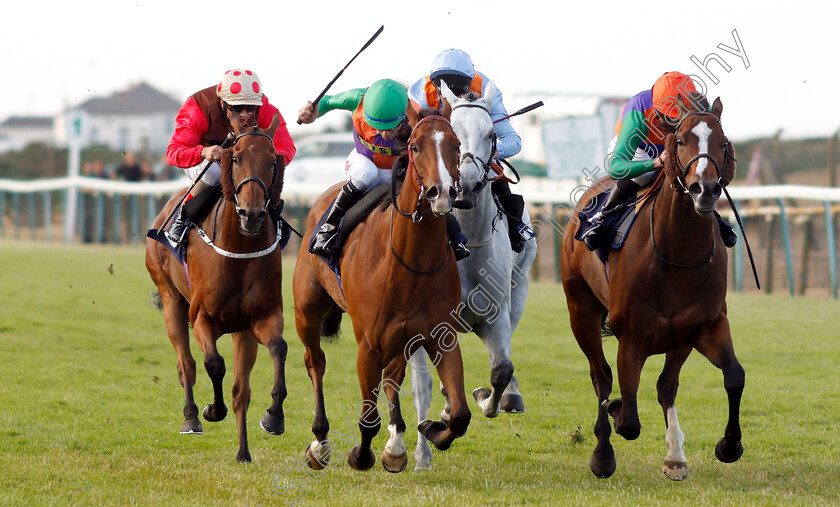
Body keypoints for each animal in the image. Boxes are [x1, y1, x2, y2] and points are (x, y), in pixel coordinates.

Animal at [144, 115, 288, 464]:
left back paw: (243, 452)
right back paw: (192, 417)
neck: (239, 249)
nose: (252, 214)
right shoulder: (202, 318)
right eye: (234, 159)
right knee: (187, 364)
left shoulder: (261, 318)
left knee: (241, 390)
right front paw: (212, 410)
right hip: (171, 300)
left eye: (272, 161)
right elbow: (213, 364)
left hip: (241, 331)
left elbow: (278, 349)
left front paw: (273, 417)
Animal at [292, 109, 470, 474]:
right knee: (315, 362)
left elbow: (460, 414)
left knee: (392, 378)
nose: (442, 192)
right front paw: (360, 456)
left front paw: (430, 430)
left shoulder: (440, 335)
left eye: (456, 145)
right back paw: (319, 442)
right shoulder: (368, 345)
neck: (411, 263)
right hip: (307, 313)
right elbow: (367, 418)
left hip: (401, 339)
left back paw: (396, 442)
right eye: (415, 146)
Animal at [408, 80, 540, 472]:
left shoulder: (494, 316)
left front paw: (486, 399)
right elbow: (422, 386)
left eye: (491, 134)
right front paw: (421, 453)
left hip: (519, 292)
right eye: (452, 133)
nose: (464, 187)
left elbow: (501, 370)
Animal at [560, 98, 744, 480]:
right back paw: (603, 453)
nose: (705, 189)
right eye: (681, 140)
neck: (678, 254)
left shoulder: (704, 326)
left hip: (679, 339)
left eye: (723, 142)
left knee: (665, 386)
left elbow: (734, 376)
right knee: (601, 376)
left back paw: (675, 456)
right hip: (579, 309)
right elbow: (629, 419)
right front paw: (615, 414)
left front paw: (728, 445)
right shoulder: (631, 337)